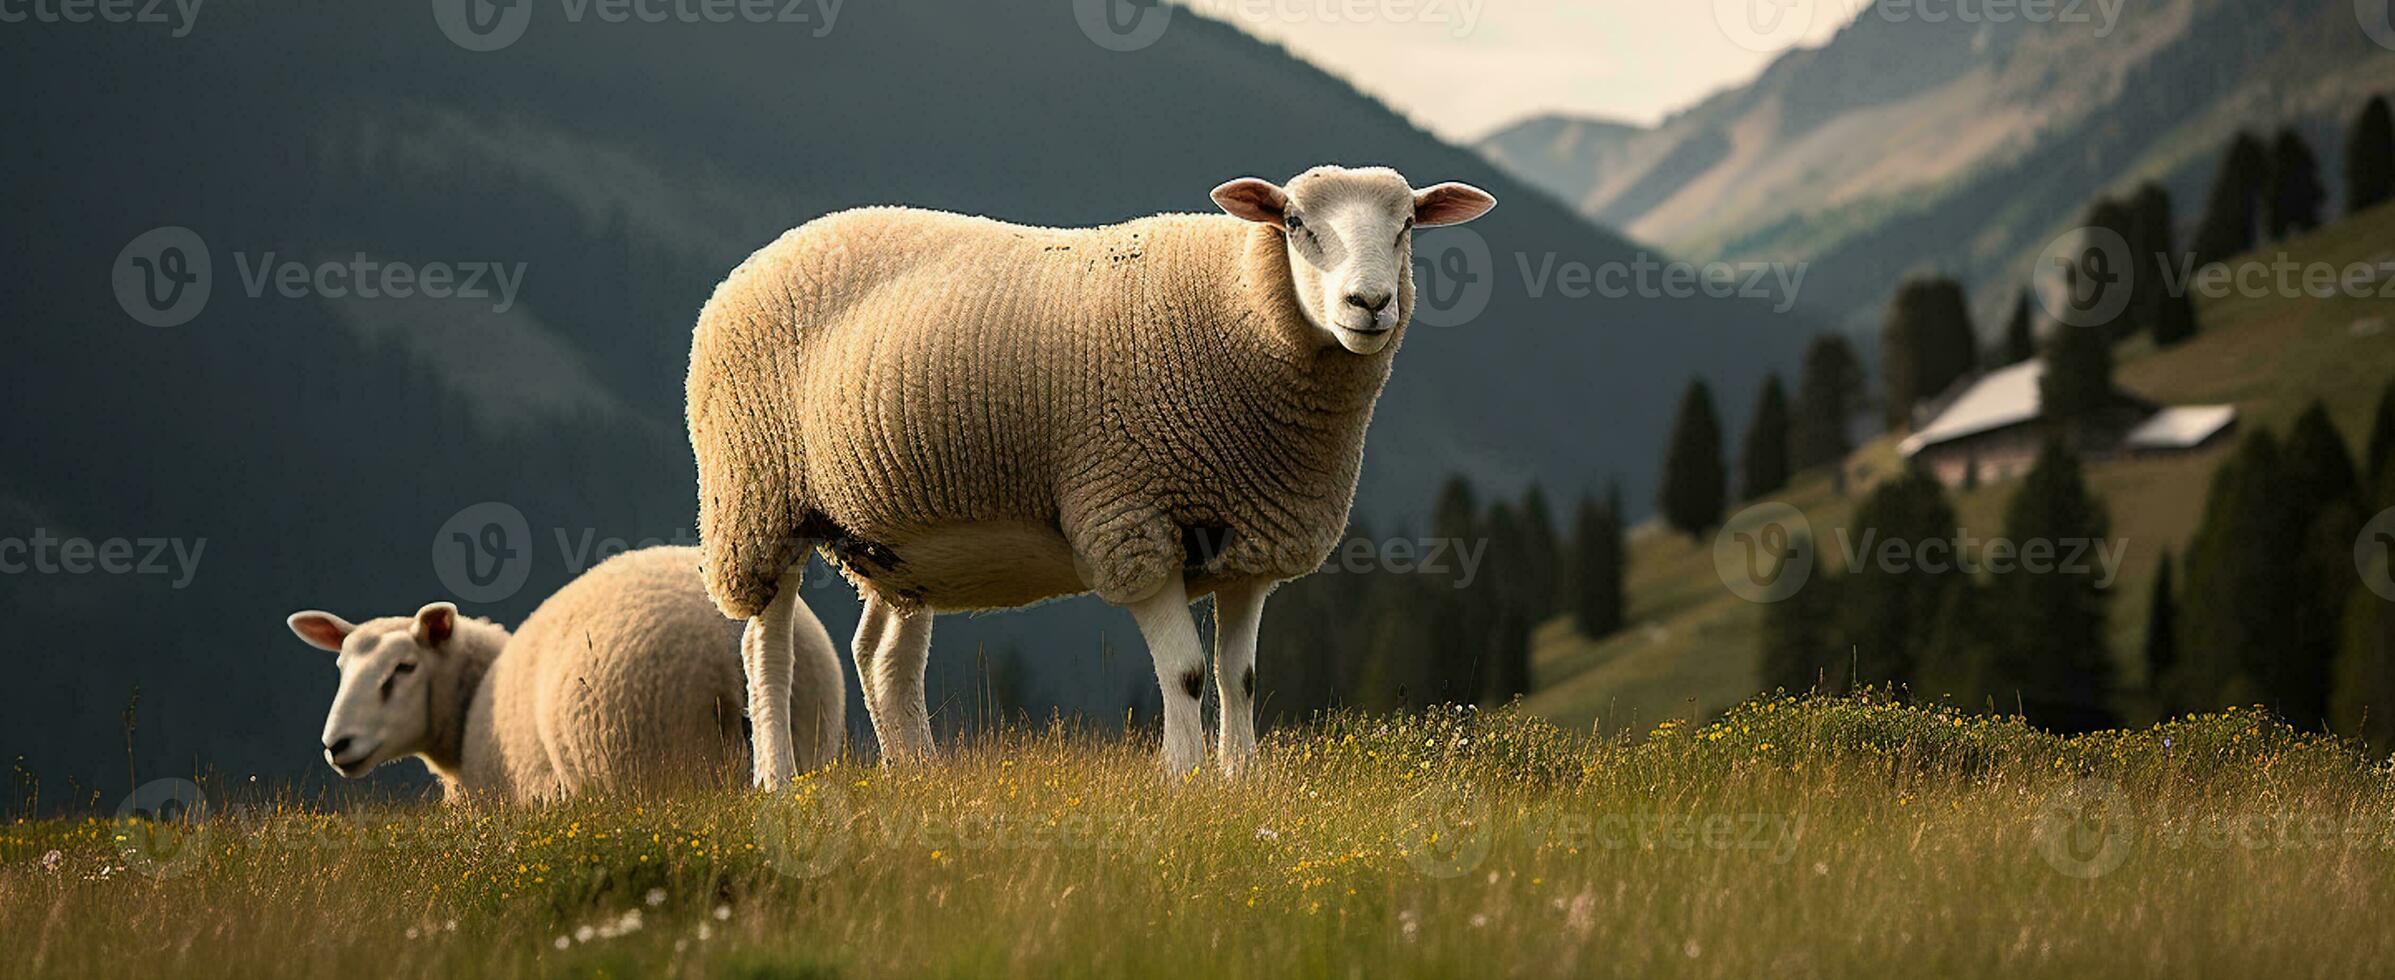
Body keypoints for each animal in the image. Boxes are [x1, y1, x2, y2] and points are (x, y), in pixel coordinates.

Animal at [684, 164, 1484, 781]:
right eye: (1293, 222)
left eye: (1408, 224)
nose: (1370, 303)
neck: (1239, 315)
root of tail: (754, 262)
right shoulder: (1131, 521)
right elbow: (1188, 673)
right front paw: (1185, 782)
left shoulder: (1251, 540)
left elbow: (1242, 678)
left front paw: (1243, 782)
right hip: (756, 499)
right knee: (768, 647)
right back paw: (778, 783)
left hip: (897, 543)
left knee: (882, 657)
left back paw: (917, 777)